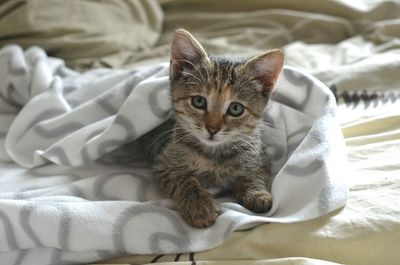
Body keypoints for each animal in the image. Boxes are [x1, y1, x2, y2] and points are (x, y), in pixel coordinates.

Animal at [150, 28, 284, 227]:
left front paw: (257, 193)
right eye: (198, 101)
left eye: (236, 109)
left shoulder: (260, 157)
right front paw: (199, 205)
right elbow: (183, 178)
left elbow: (252, 172)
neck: (212, 155)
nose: (212, 129)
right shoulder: (163, 162)